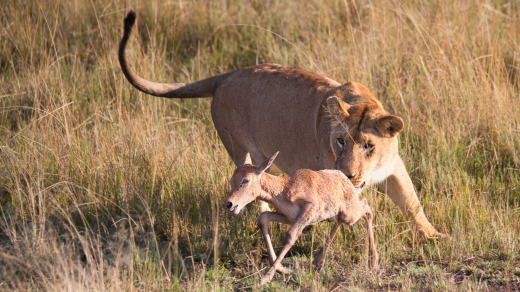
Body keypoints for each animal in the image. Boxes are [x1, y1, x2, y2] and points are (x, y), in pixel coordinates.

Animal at [223, 152, 378, 284]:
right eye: (231, 179)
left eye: (246, 180)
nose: (229, 203)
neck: (285, 189)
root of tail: (344, 177)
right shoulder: (289, 217)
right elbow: (262, 218)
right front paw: (283, 270)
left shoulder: (310, 209)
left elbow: (291, 235)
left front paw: (265, 278)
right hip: (338, 215)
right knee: (342, 220)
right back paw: (318, 259)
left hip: (350, 214)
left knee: (366, 208)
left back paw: (373, 260)